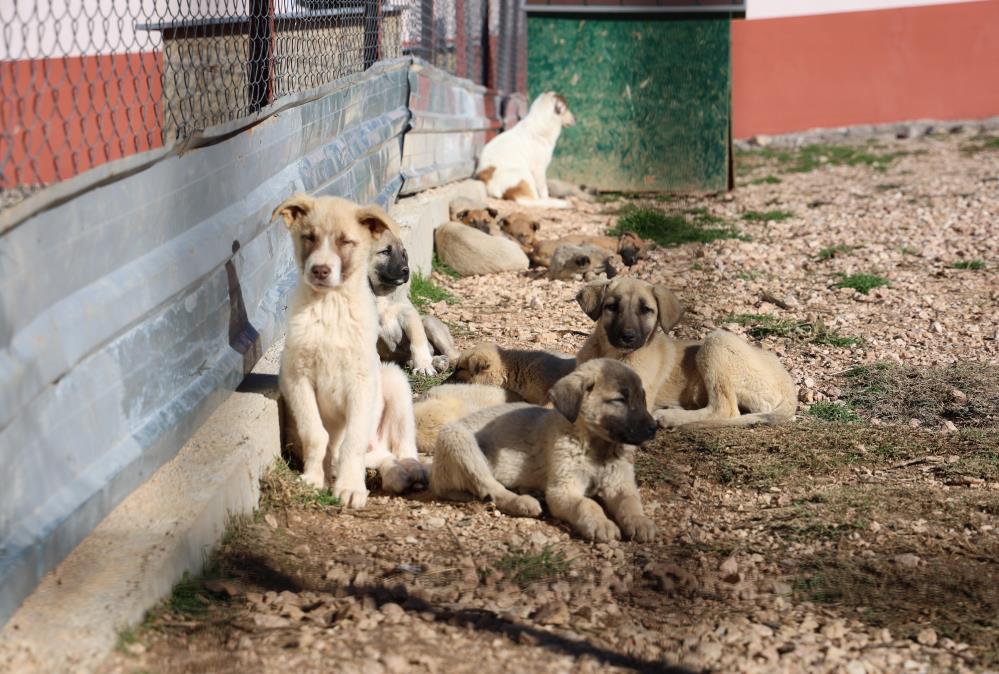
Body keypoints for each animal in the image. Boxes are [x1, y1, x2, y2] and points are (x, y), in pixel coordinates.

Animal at [276, 193, 428, 504]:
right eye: (309, 237)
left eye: (346, 241)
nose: (320, 270)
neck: (330, 306)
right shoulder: (297, 379)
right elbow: (315, 434)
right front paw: (314, 479)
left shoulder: (362, 383)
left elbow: (352, 441)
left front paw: (349, 487)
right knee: (382, 457)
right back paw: (396, 476)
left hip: (394, 381)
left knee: (402, 445)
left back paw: (412, 469)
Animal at [368, 227, 460, 372]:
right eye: (386, 252)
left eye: (403, 255)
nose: (406, 270)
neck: (383, 293)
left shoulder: (409, 315)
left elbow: (418, 342)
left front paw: (423, 365)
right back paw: (437, 362)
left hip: (429, 322)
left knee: (451, 352)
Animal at [432, 356, 660, 540]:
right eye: (619, 400)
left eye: (642, 398)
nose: (654, 428)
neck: (597, 447)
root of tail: (435, 473)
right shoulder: (562, 489)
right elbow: (587, 503)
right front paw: (601, 523)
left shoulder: (620, 484)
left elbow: (631, 503)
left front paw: (640, 522)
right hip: (457, 437)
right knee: (490, 487)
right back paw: (523, 502)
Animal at [576, 276, 800, 428]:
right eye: (612, 307)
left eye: (646, 310)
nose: (627, 337)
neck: (612, 353)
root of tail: (787, 382)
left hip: (716, 341)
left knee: (725, 409)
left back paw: (671, 417)